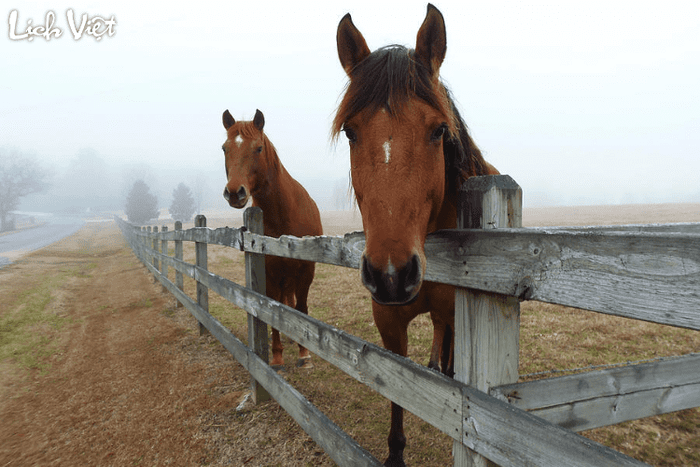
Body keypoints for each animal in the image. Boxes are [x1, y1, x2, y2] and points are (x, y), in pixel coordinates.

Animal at [220, 109, 324, 370]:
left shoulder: (306, 271)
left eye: (258, 148)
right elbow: (272, 308)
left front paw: (304, 354)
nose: (235, 192)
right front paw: (277, 357)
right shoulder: (269, 272)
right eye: (224, 148)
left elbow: (302, 307)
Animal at [334, 4, 498, 467]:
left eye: (439, 130)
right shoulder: (389, 322)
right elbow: (397, 389)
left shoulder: (459, 317)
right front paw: (394, 453)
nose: (391, 275)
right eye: (350, 132)